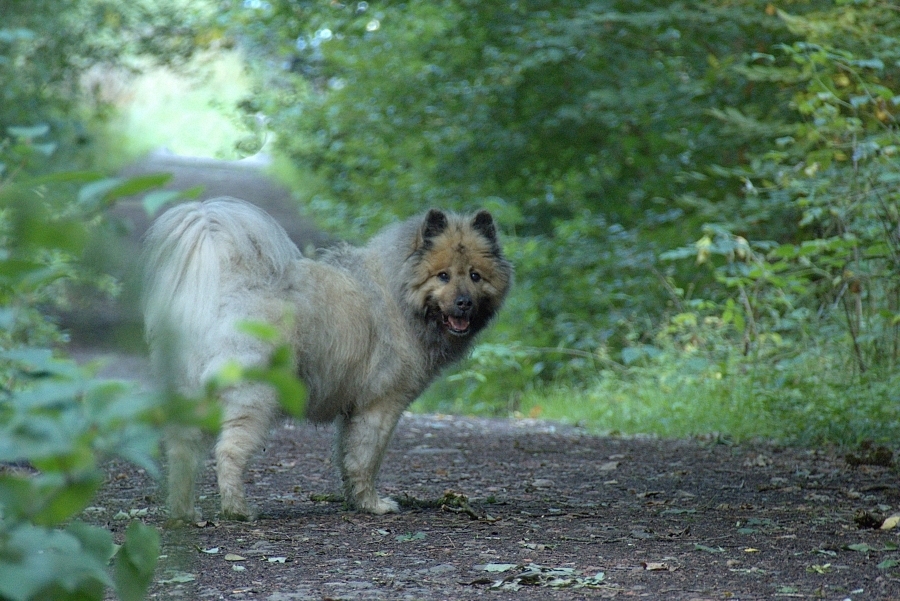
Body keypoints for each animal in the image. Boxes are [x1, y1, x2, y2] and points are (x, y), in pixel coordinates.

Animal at [140, 198, 506, 520]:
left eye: (475, 276)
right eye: (443, 276)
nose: (464, 303)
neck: (399, 294)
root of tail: (225, 287)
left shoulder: (353, 411)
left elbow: (347, 460)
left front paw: (356, 501)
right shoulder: (381, 406)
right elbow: (367, 459)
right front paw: (374, 505)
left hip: (194, 395)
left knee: (181, 452)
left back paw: (185, 513)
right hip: (255, 398)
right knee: (227, 452)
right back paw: (238, 510)